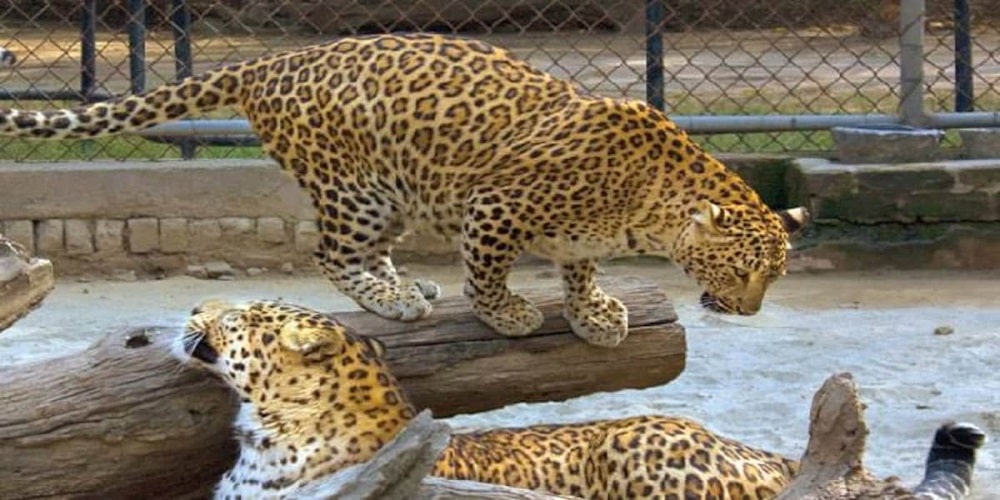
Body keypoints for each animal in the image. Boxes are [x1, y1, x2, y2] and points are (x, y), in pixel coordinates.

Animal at [0, 34, 808, 348]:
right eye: (742, 270)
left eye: (774, 275)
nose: (748, 309)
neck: (650, 205)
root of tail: (270, 64)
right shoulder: (494, 205)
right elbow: (487, 272)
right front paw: (507, 314)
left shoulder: (579, 233)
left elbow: (579, 267)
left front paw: (594, 312)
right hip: (356, 189)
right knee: (331, 255)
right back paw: (394, 302)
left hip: (390, 191)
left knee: (364, 254)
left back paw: (407, 288)